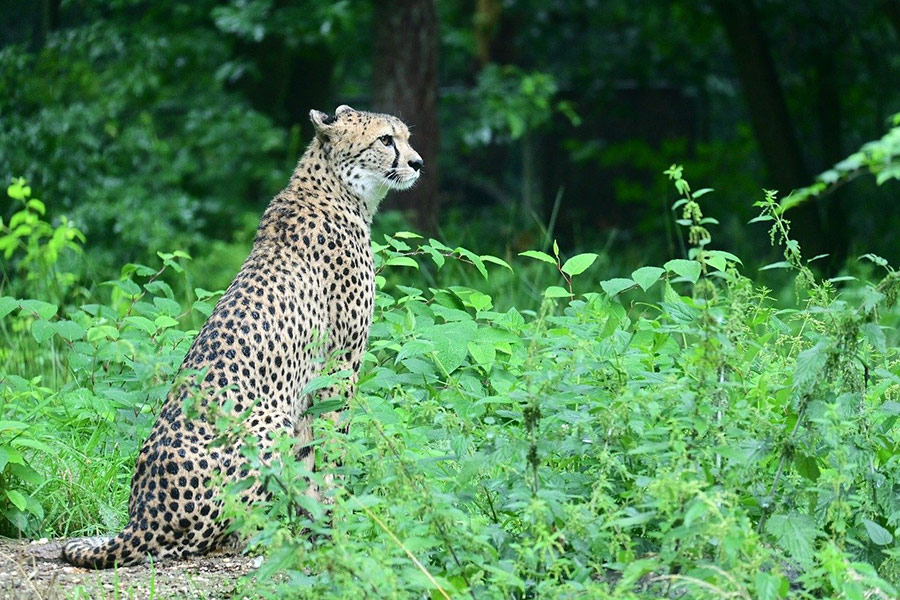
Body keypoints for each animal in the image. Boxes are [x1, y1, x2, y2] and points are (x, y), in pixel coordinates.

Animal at [61, 105, 424, 568]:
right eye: (385, 140)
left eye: (406, 138)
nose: (417, 163)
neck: (338, 190)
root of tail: (142, 517)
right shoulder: (339, 365)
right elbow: (332, 451)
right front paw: (337, 525)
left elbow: (308, 462)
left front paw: (317, 527)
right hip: (265, 420)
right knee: (221, 537)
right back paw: (264, 539)